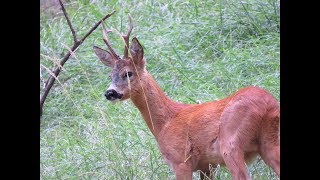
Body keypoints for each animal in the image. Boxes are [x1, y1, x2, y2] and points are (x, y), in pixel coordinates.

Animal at [94, 16, 278, 179]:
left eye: (128, 73)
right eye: (110, 75)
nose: (110, 93)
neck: (165, 122)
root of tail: (269, 104)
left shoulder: (180, 159)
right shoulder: (207, 166)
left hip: (231, 144)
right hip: (269, 142)